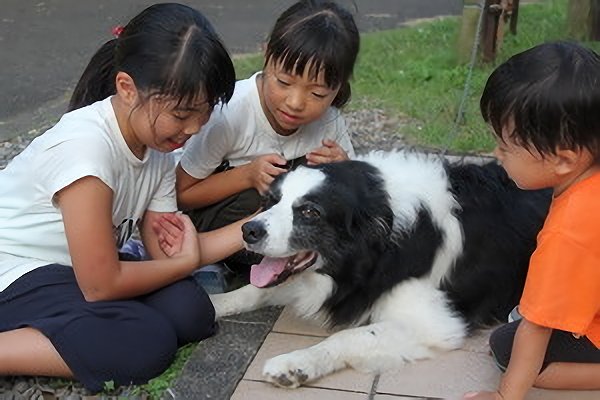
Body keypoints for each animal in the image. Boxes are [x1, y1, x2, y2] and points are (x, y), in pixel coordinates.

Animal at [210, 149, 548, 388]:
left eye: (309, 212)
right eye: (271, 200)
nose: (249, 230)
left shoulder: (435, 324)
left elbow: (349, 337)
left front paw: (296, 363)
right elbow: (253, 290)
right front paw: (212, 303)